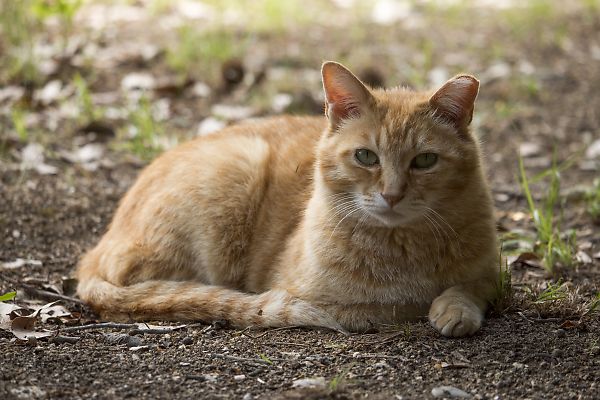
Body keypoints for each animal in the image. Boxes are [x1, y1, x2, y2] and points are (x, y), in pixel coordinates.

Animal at [77, 61, 500, 338]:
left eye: (425, 161)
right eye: (366, 157)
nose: (391, 195)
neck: (404, 248)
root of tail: (94, 251)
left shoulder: (490, 272)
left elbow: (476, 286)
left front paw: (454, 306)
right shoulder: (321, 297)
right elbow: (388, 305)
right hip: (235, 170)